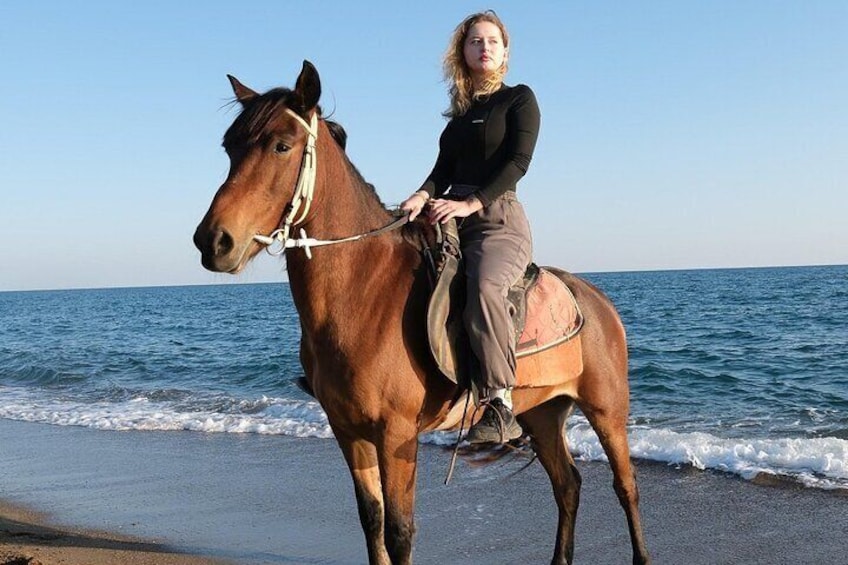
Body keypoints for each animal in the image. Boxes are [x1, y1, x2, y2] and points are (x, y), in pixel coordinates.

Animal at [193, 61, 650, 565]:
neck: (364, 293)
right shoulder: (348, 432)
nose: (213, 241)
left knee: (626, 487)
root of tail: (596, 299)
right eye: (230, 147)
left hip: (607, 409)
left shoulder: (396, 435)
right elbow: (371, 521)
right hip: (542, 412)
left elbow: (399, 531)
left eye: (281, 145)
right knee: (567, 485)